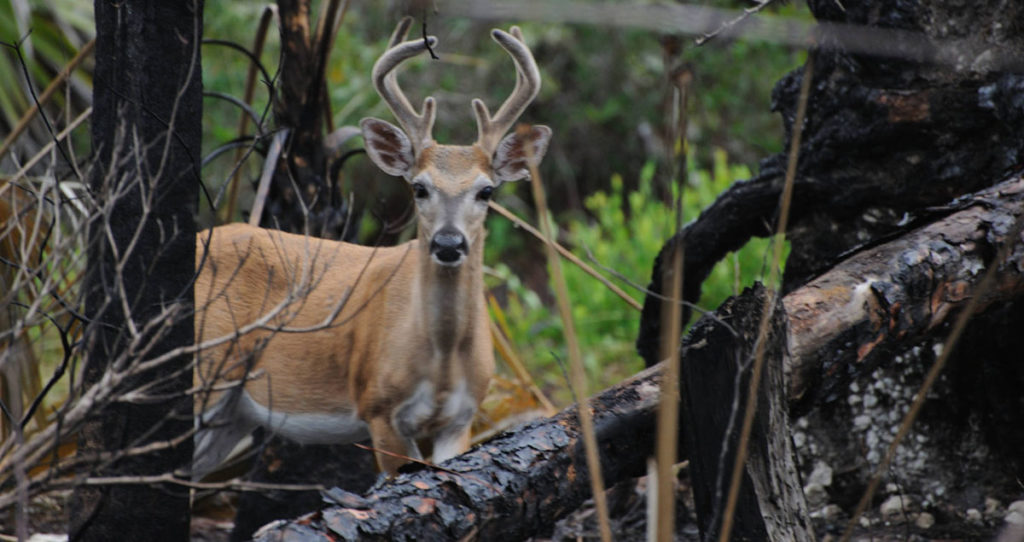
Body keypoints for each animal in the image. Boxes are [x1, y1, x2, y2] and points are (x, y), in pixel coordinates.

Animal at [191, 18, 552, 477]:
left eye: (486, 191)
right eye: (419, 188)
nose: (448, 243)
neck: (442, 358)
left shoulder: (462, 417)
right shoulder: (379, 408)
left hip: (233, 412)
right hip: (203, 373)